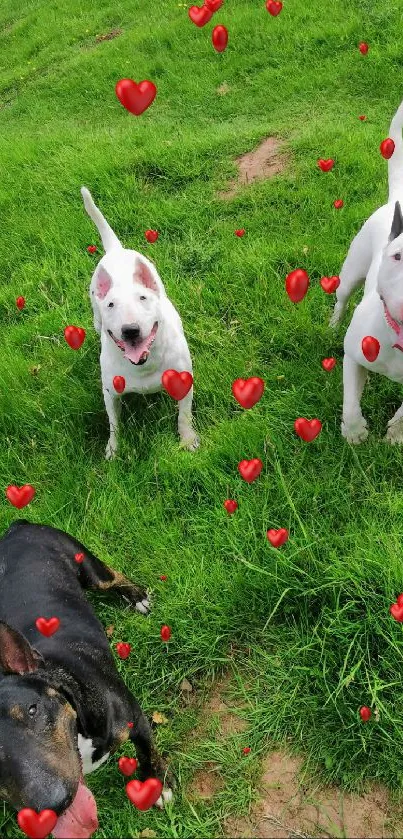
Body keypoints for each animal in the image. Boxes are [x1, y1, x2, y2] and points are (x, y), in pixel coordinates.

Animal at [0, 520, 172, 836]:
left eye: (32, 709)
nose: (54, 806)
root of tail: (16, 527)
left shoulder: (136, 719)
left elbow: (147, 751)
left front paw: (157, 783)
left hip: (88, 567)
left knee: (114, 577)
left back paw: (137, 597)